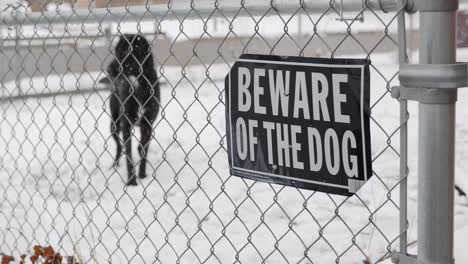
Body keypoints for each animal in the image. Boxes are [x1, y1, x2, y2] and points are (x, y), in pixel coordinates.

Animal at [104, 34, 161, 186]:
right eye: (116, 50)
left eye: (127, 51)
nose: (108, 69)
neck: (138, 83)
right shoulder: (126, 124)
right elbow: (128, 153)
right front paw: (132, 181)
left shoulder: (148, 124)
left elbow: (143, 149)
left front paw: (142, 175)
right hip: (114, 124)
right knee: (119, 146)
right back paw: (114, 165)